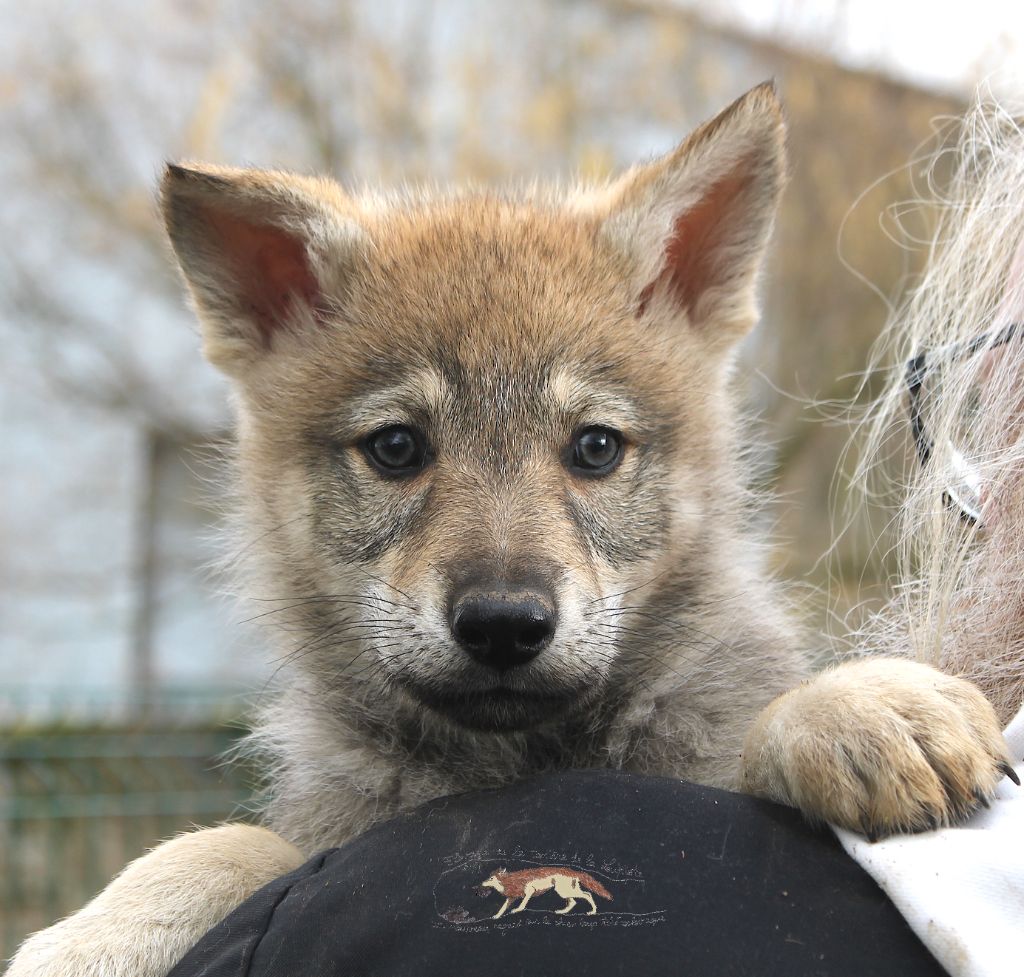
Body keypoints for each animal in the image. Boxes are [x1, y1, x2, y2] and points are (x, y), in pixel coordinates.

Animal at [6, 85, 1015, 974]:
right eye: (397, 447)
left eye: (596, 447)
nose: (503, 623)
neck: (509, 762)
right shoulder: (328, 831)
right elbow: (233, 841)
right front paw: (92, 939)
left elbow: (755, 731)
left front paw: (860, 705)